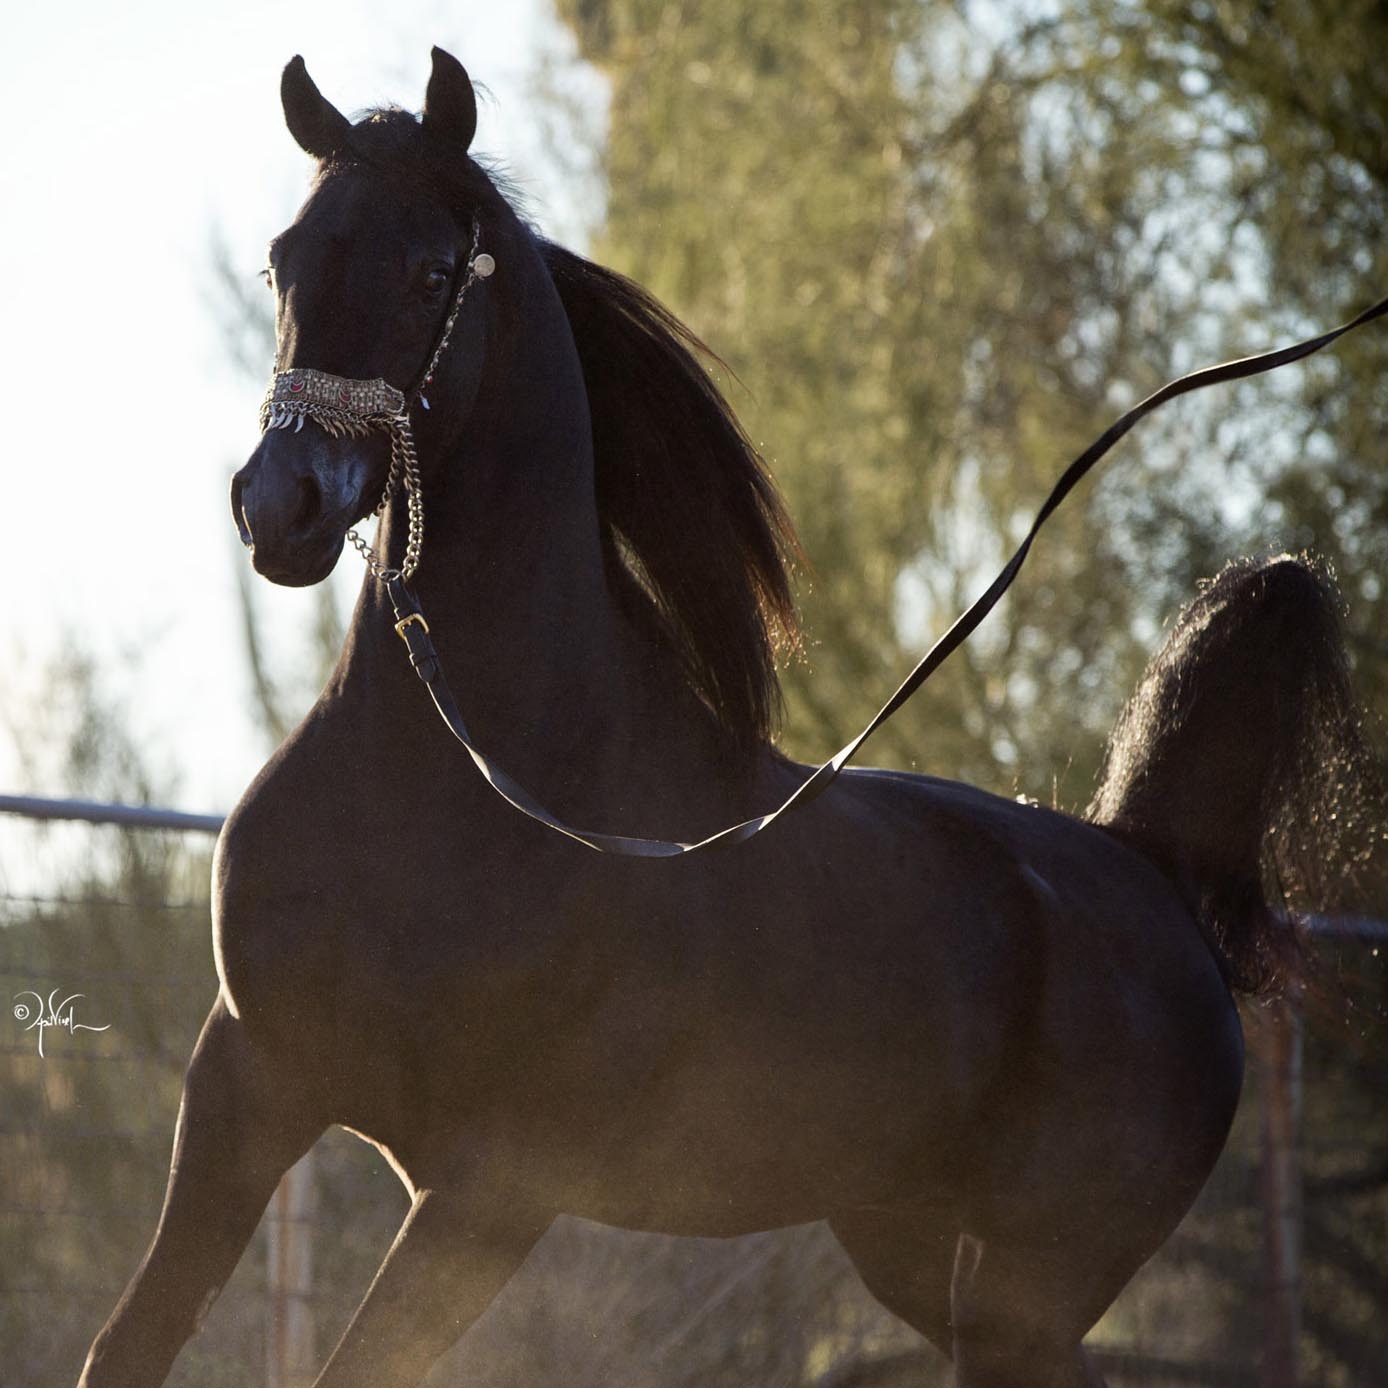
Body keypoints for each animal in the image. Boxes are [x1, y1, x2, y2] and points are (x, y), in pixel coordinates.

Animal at [83, 48, 1365, 1388]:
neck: (472, 786)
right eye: (283, 259)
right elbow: (124, 1343)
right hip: (916, 1247)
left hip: (1033, 1279)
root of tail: (1150, 869)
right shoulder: (245, 1081)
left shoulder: (490, 1189)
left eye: (431, 271)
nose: (278, 506)